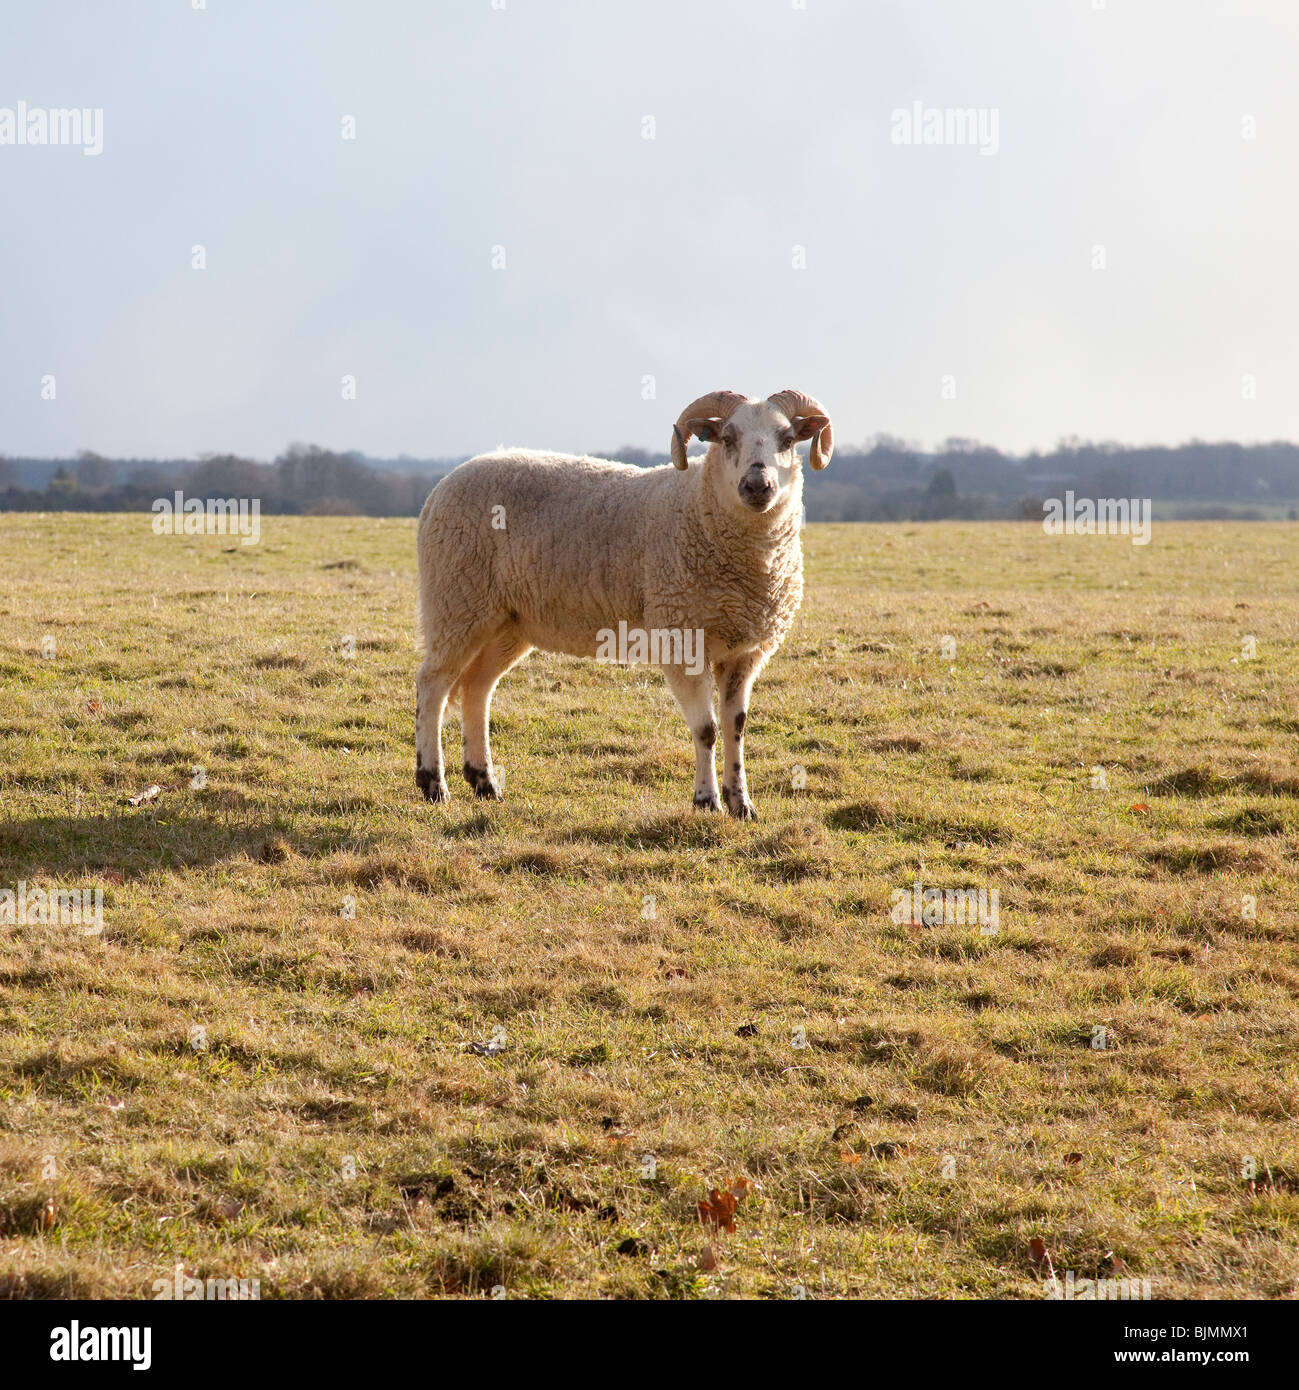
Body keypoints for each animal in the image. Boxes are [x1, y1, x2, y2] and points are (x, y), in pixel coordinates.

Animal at [414, 388, 833, 818]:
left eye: (788, 439)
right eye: (727, 438)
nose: (757, 486)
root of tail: (441, 487)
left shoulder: (746, 654)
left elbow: (736, 728)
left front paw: (742, 804)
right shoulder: (681, 641)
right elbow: (707, 730)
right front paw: (707, 801)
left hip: (506, 621)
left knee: (476, 688)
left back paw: (485, 782)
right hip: (455, 601)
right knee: (432, 685)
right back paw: (433, 784)